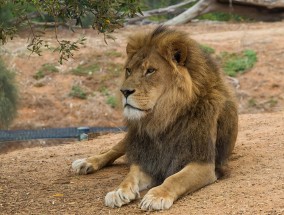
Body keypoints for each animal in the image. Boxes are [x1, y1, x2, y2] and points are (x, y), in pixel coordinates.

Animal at [71, 26, 237, 211]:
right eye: (129, 70)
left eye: (150, 70)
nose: (124, 91)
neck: (162, 120)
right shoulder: (147, 157)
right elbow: (130, 175)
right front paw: (119, 191)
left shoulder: (204, 162)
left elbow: (175, 178)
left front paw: (157, 196)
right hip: (132, 139)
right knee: (113, 150)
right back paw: (86, 163)